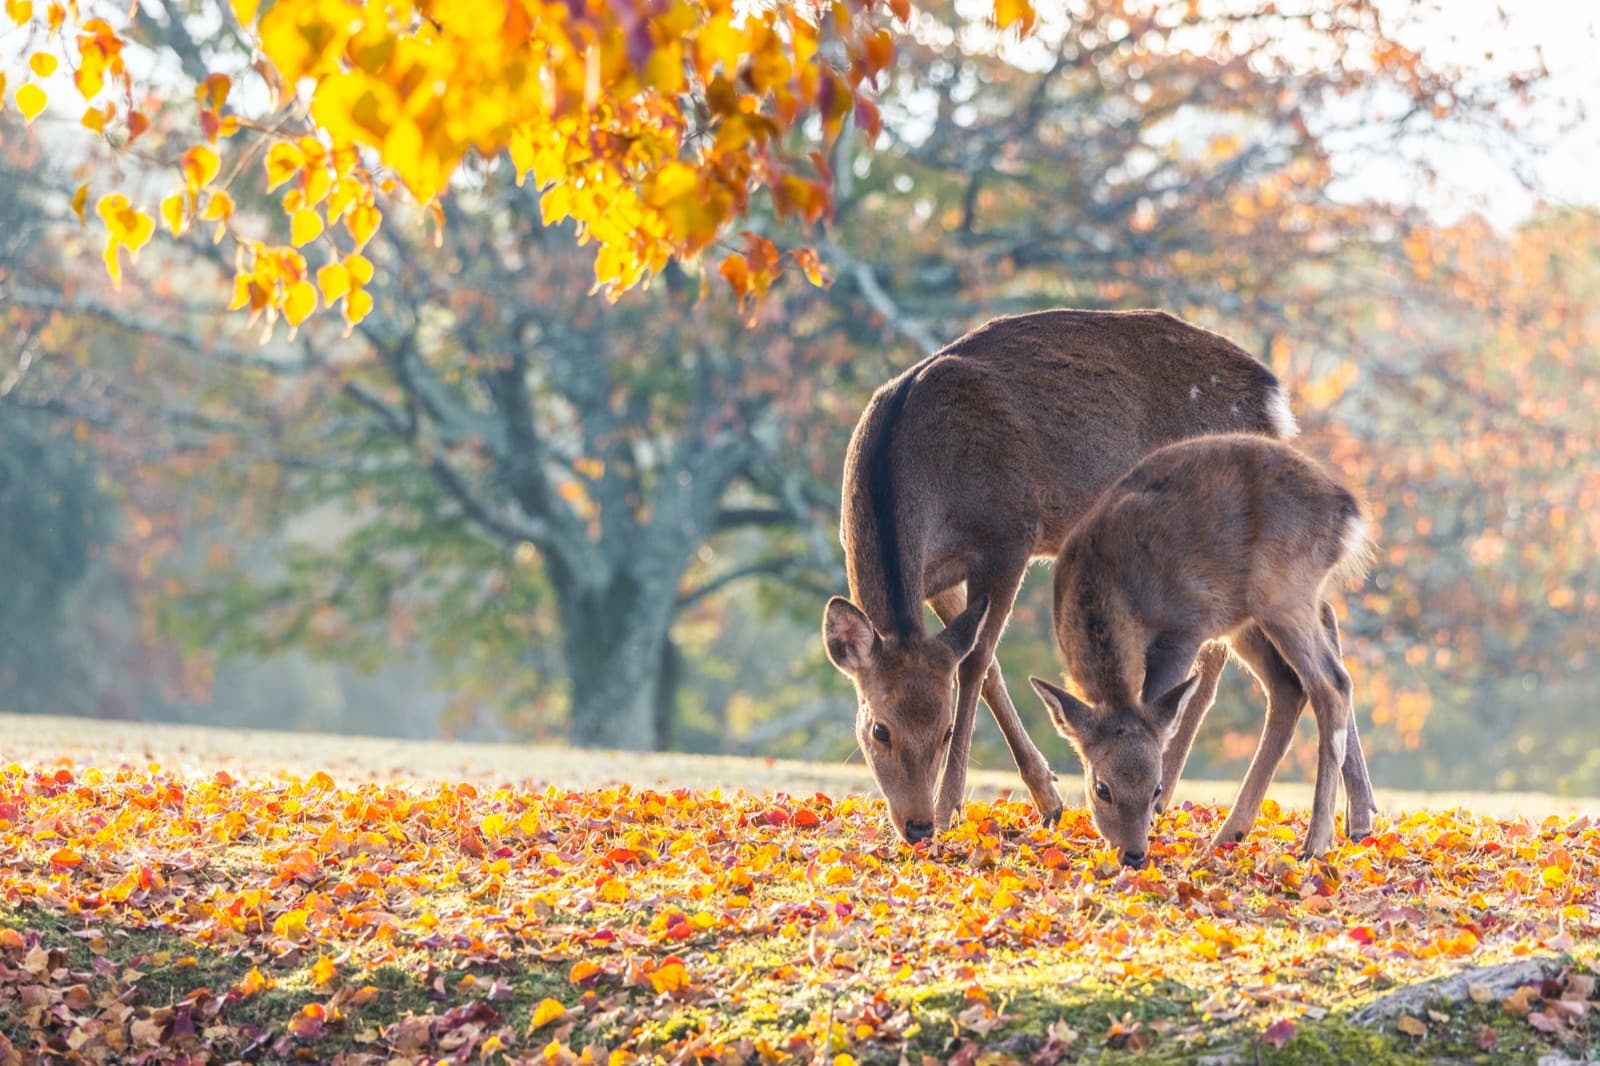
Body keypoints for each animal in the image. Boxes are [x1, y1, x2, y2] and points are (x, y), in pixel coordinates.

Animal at [821, 308, 1356, 845]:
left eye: (947, 729)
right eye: (879, 729)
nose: (916, 825)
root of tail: (1275, 401)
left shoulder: (1008, 534)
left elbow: (975, 663)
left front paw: (953, 806)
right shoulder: (943, 577)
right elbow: (988, 668)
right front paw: (1048, 799)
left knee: (1227, 664)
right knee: (1315, 625)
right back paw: (1355, 817)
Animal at [1027, 432, 1378, 865]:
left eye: (1156, 787)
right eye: (1101, 788)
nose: (1133, 854)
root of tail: (1349, 513)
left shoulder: (1185, 627)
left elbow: (1163, 704)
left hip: (1283, 589)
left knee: (1331, 684)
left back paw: (1316, 841)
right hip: (1245, 617)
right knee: (1289, 687)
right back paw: (1231, 834)